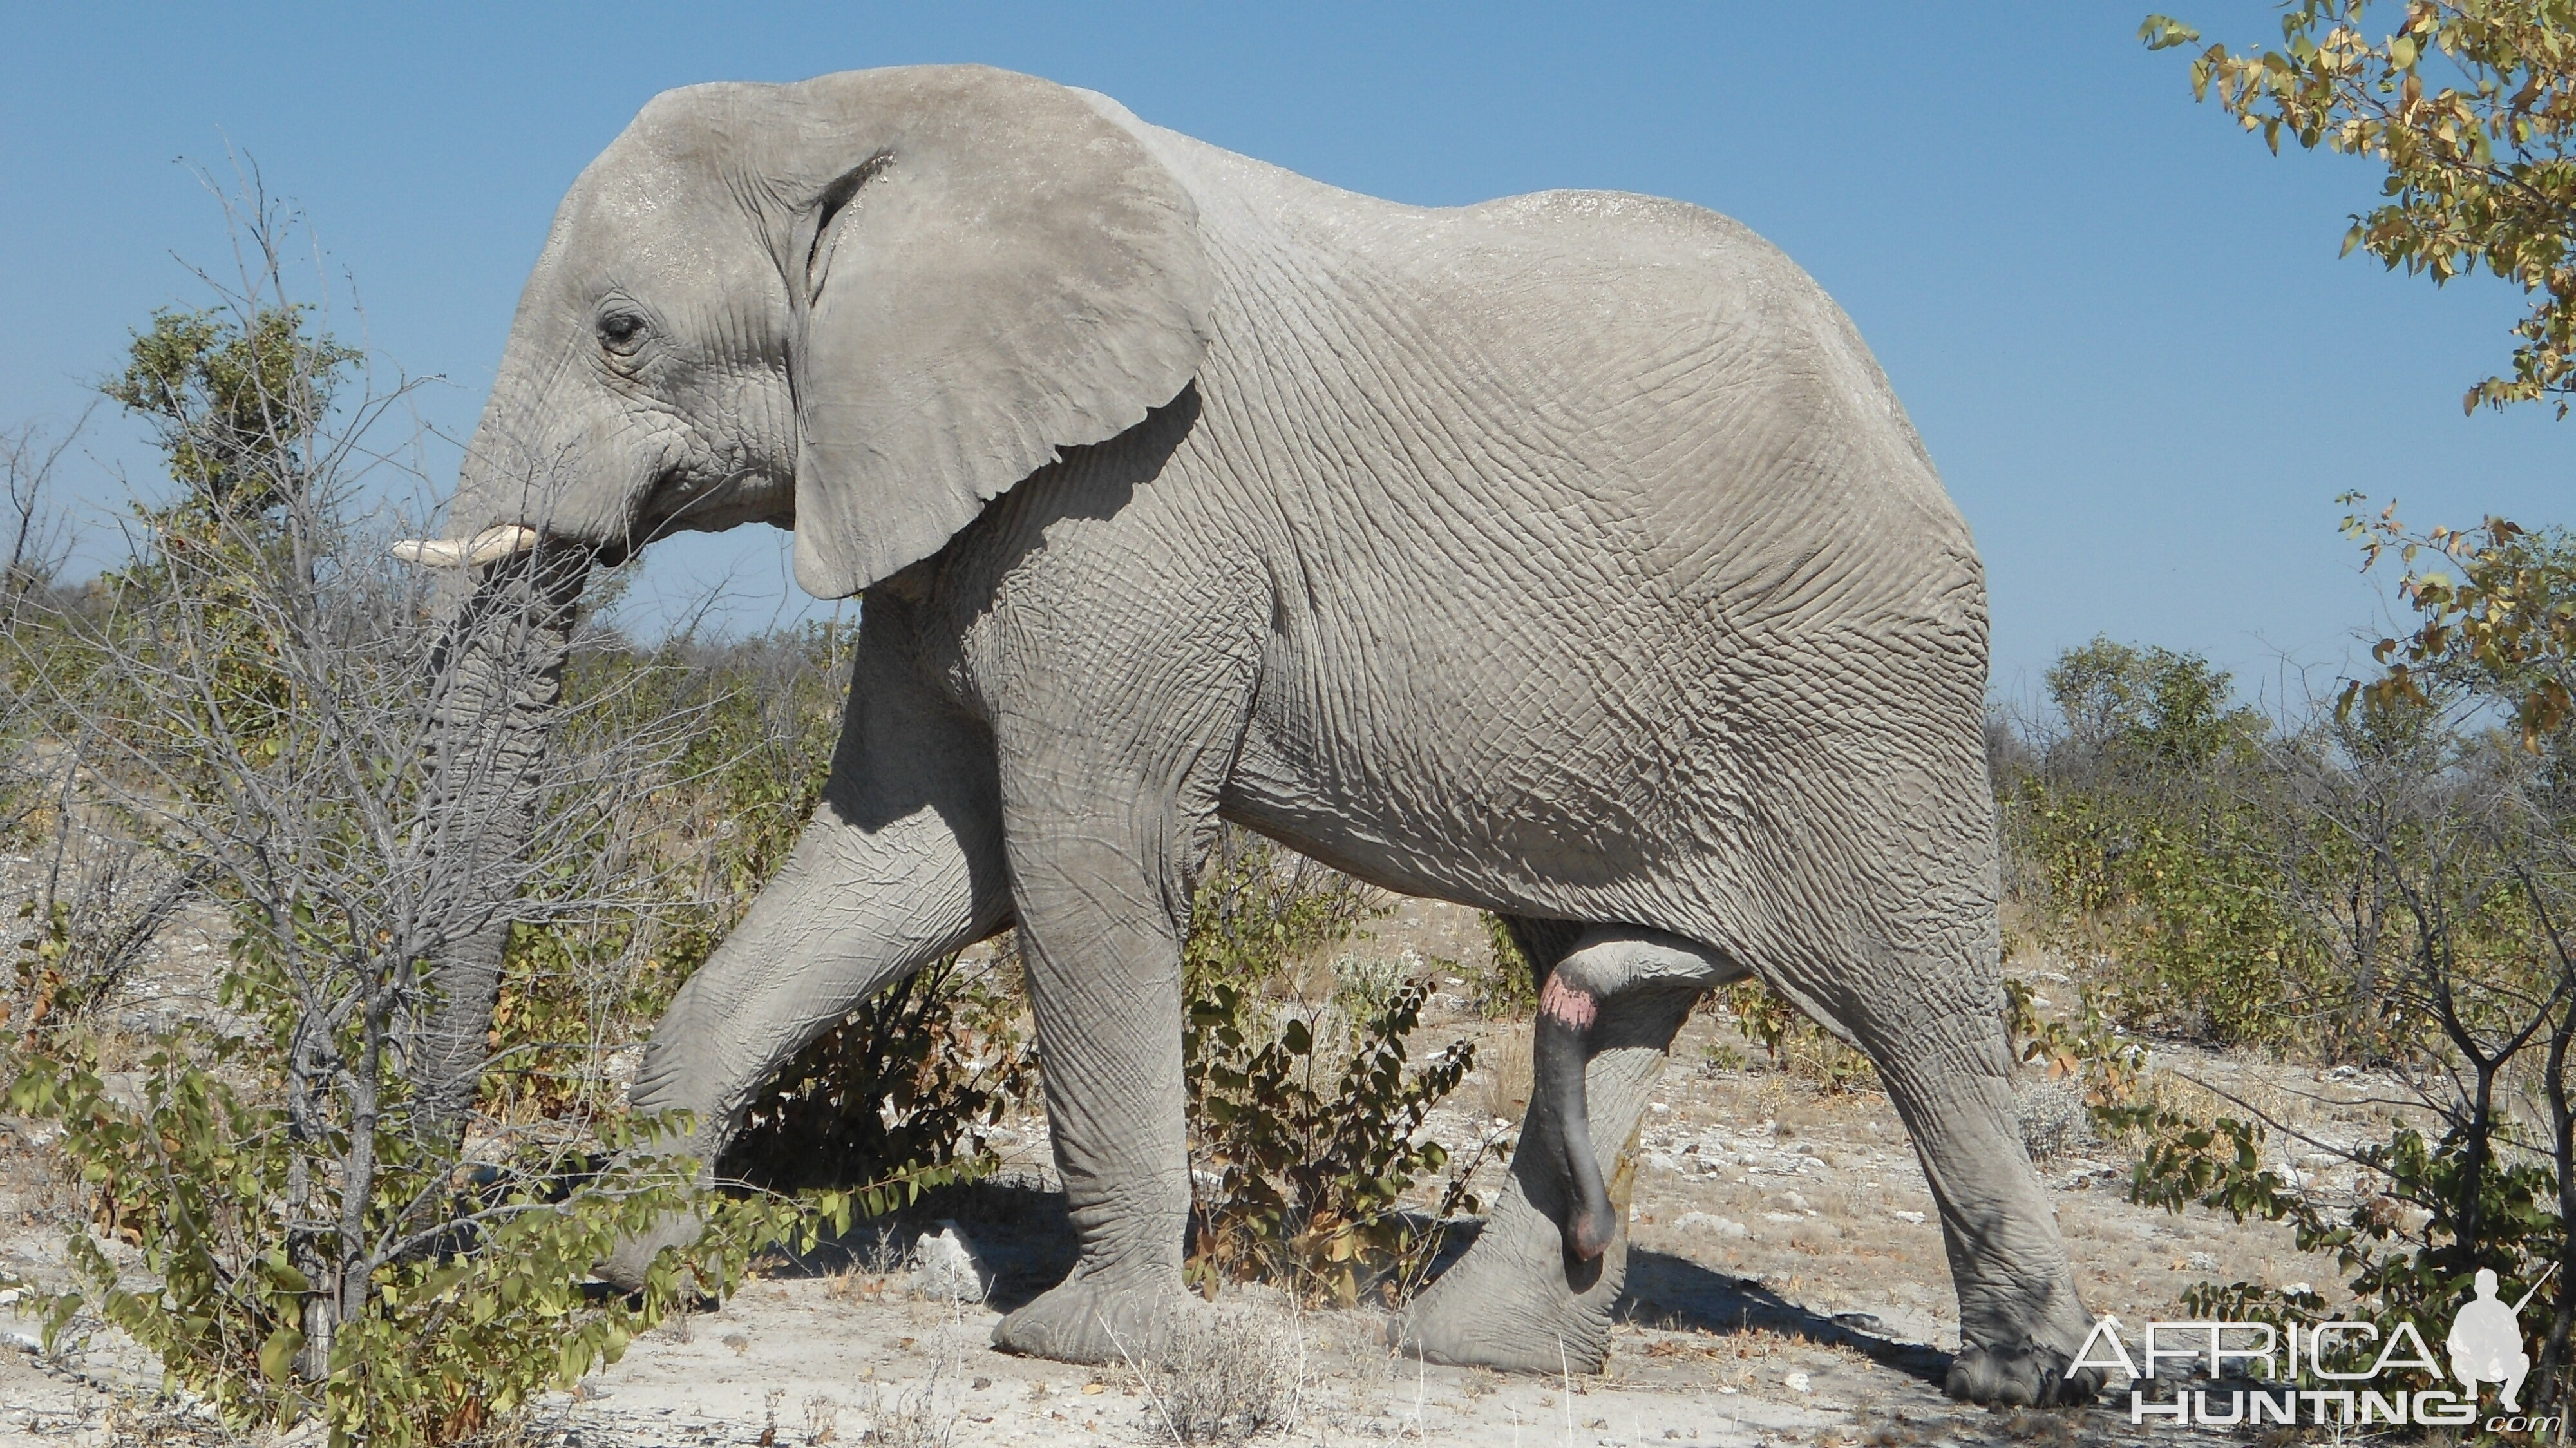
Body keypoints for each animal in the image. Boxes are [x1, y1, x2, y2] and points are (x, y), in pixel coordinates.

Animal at [397, 62, 2092, 1402]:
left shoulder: (1134, 502)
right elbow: (915, 855)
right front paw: (624, 1256)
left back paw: (2021, 1376)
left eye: (622, 331)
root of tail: (1897, 413)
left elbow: (1081, 859)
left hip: (1856, 684)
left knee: (1917, 1006)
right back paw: (1478, 1351)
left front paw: (1075, 1341)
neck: (857, 111)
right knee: (1604, 979)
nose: (425, 1244)